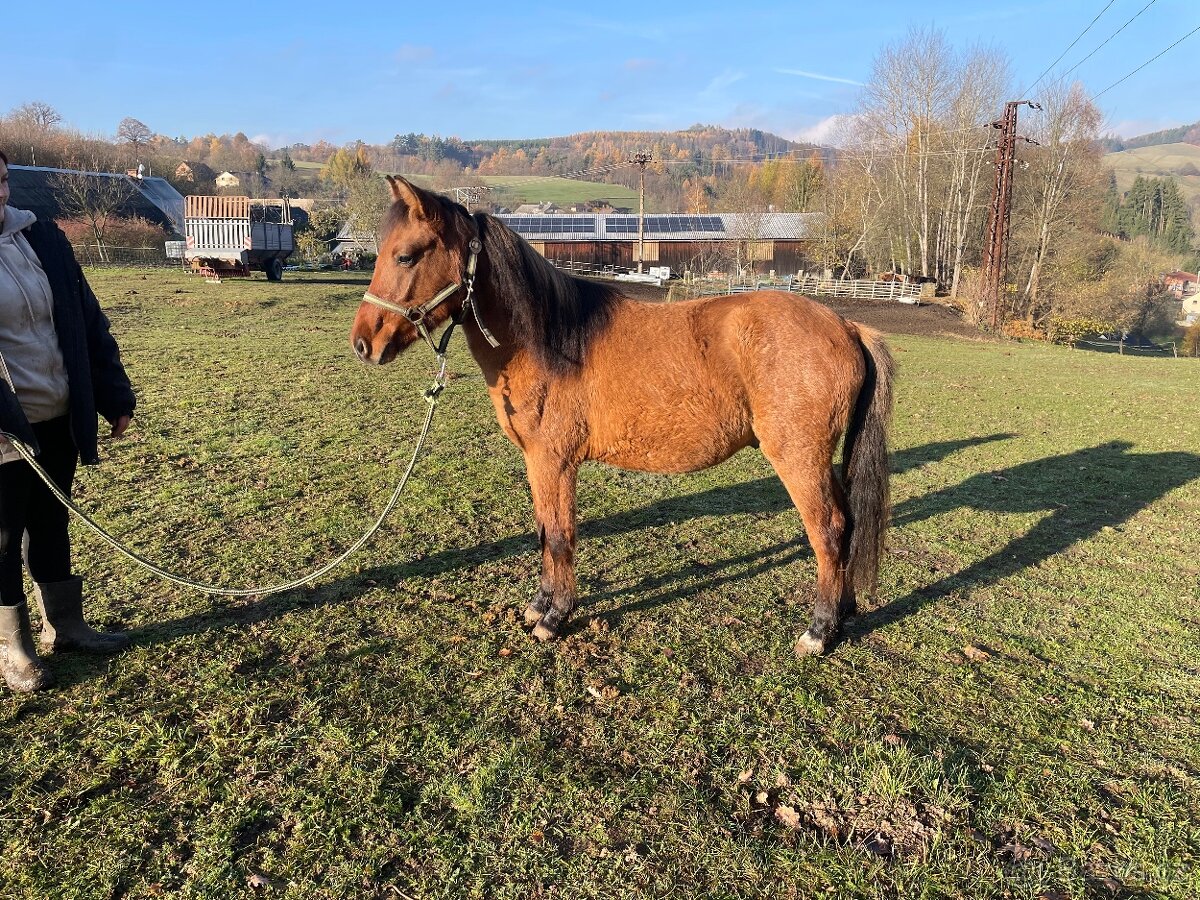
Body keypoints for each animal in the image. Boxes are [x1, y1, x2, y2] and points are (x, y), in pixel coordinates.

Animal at [351, 176, 895, 656]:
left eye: (406, 255)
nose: (363, 343)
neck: (548, 339)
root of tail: (848, 326)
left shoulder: (554, 462)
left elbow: (560, 535)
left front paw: (554, 617)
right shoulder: (539, 464)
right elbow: (544, 531)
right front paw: (539, 606)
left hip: (799, 458)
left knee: (829, 530)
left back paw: (819, 631)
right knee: (847, 523)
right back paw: (843, 614)